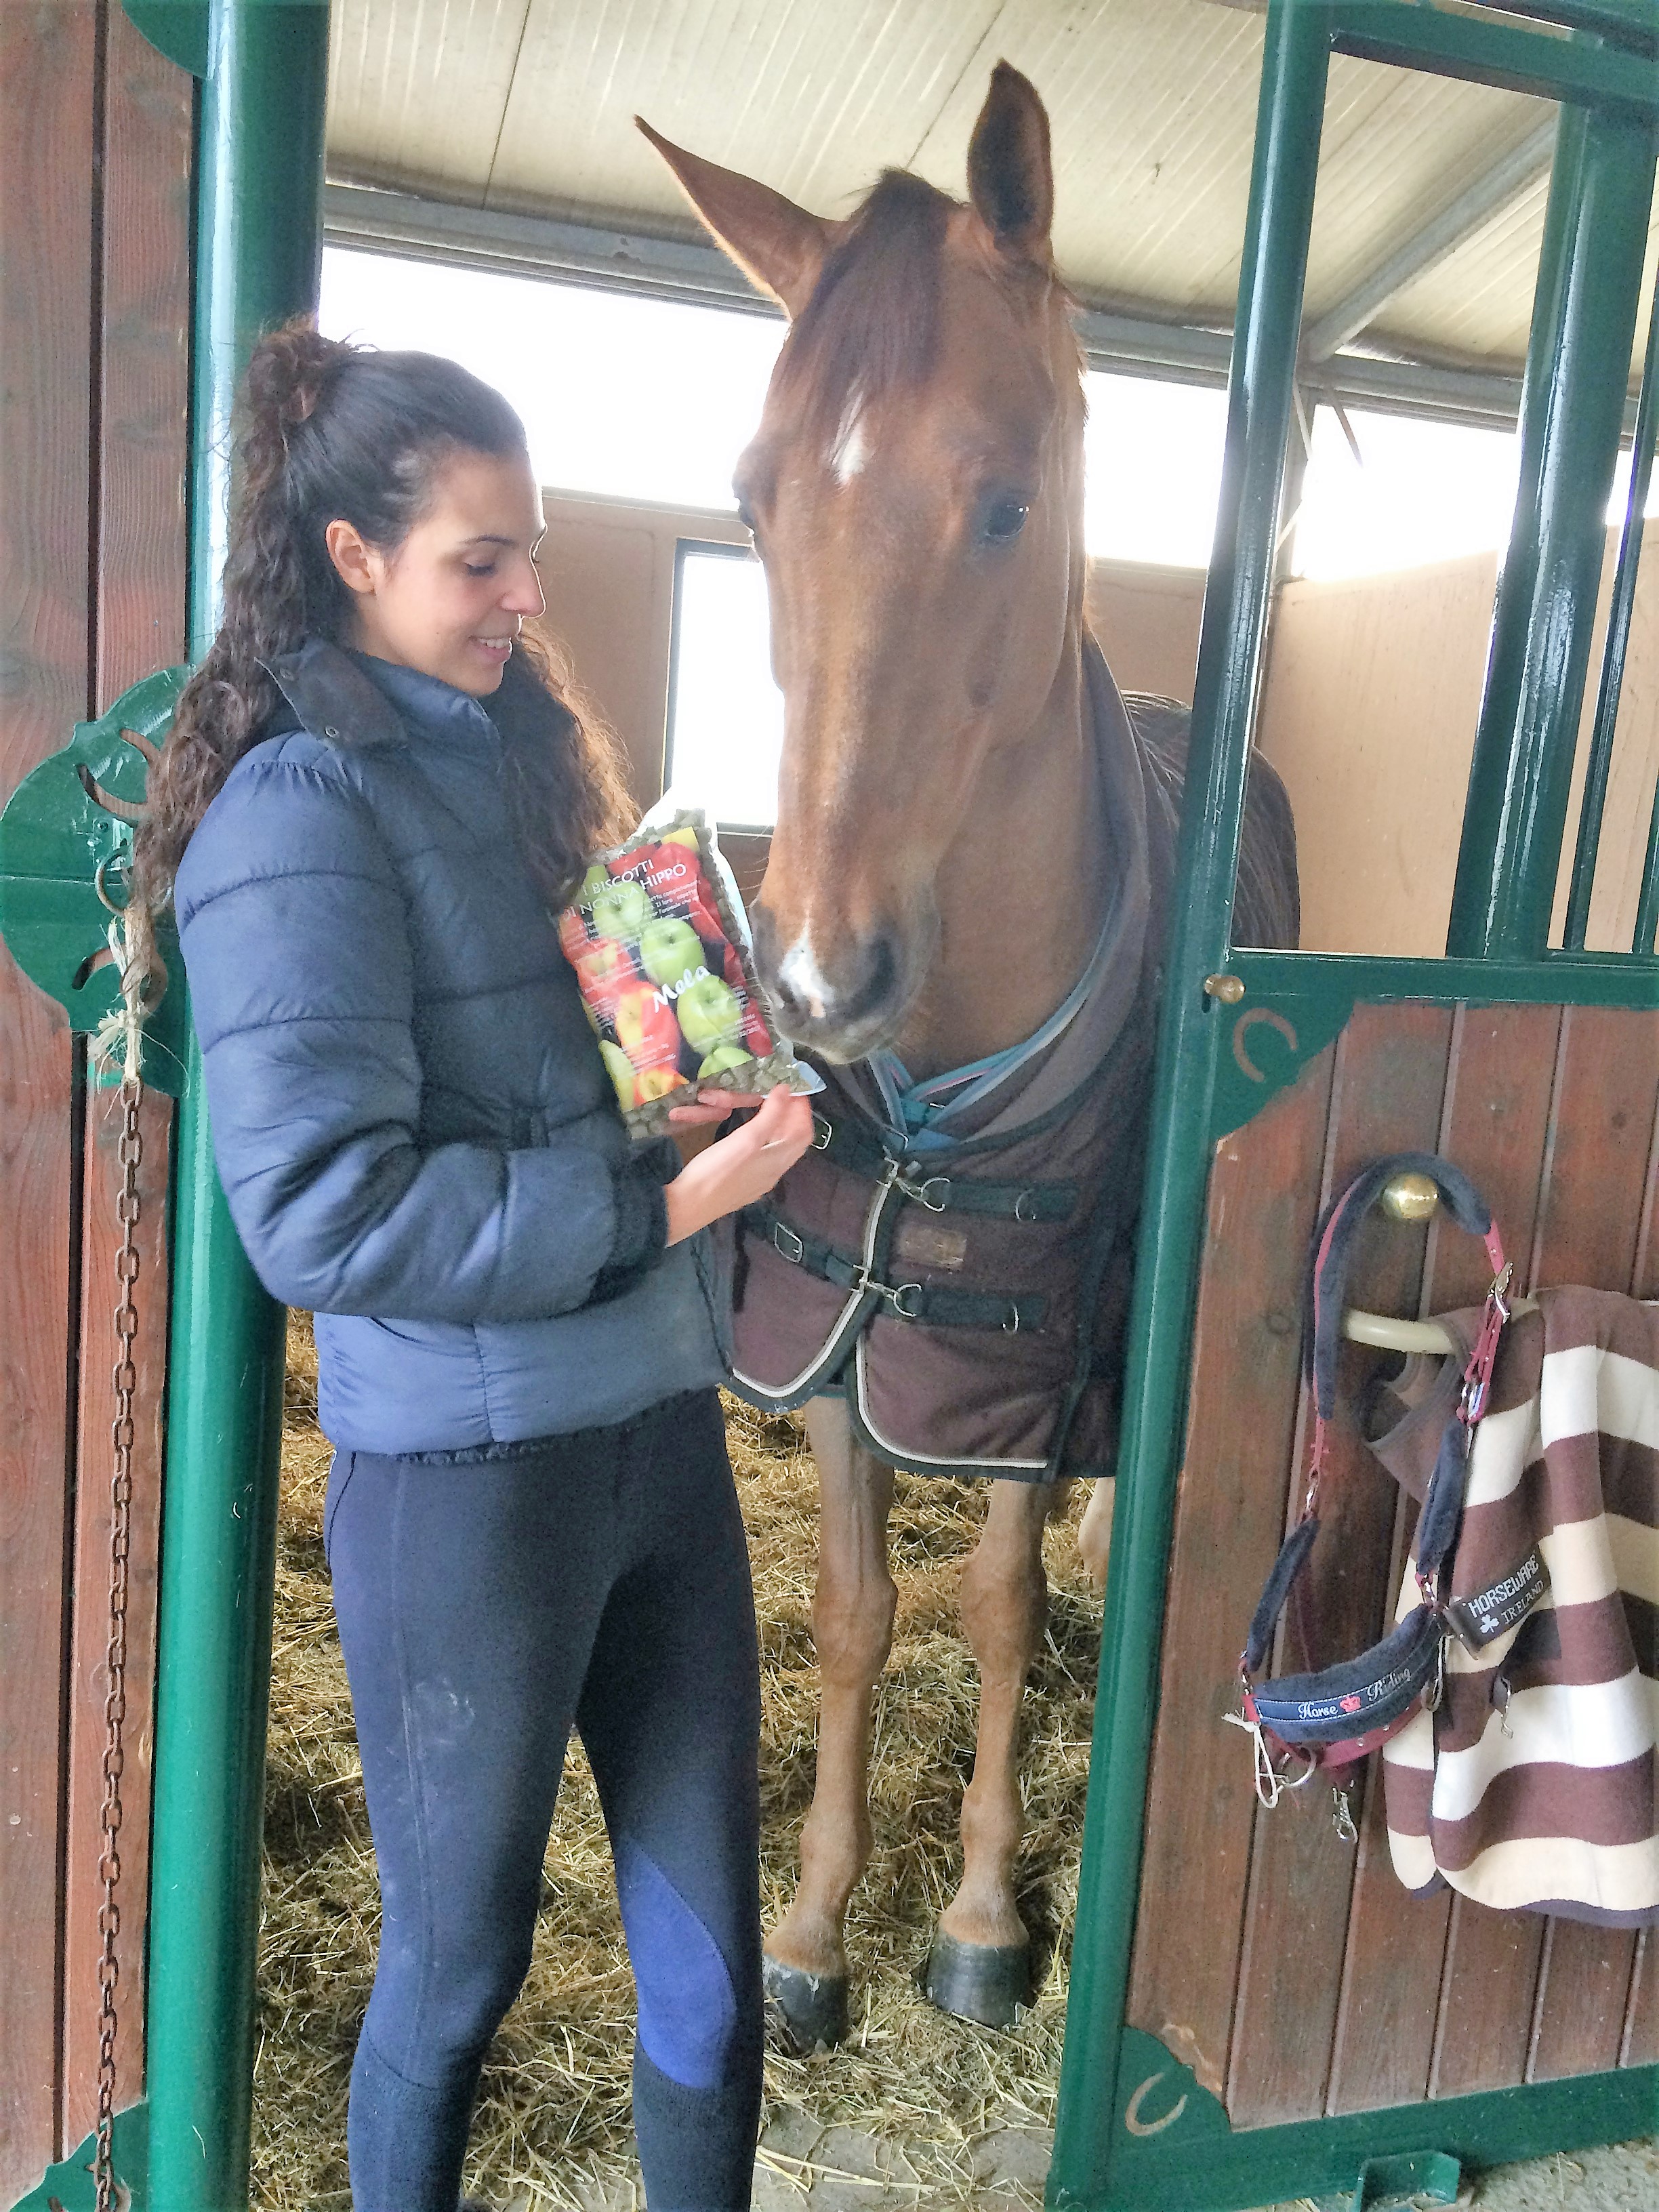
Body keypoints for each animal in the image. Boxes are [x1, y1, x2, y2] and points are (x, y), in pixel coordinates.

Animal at [641, 60, 1309, 2043]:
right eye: (753, 503)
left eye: (1007, 502)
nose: (815, 970)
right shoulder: (837, 1337)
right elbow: (862, 1610)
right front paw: (805, 1934)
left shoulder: (1031, 1350)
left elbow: (1002, 1606)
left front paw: (983, 1920)